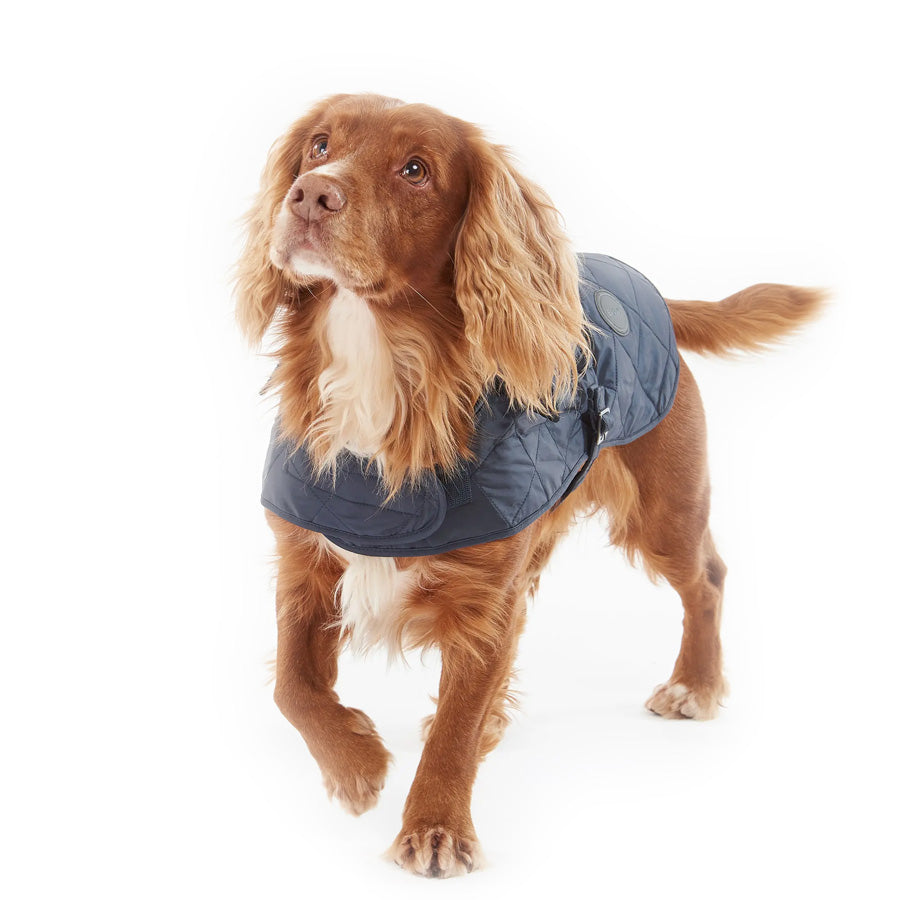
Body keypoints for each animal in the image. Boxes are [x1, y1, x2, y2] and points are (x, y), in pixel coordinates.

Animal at [234, 93, 824, 880]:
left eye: (416, 169)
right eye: (320, 145)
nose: (309, 195)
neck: (381, 370)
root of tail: (654, 297)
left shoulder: (488, 600)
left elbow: (455, 727)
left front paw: (434, 826)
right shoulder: (306, 559)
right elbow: (292, 687)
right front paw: (355, 766)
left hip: (665, 511)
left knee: (708, 577)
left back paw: (694, 685)